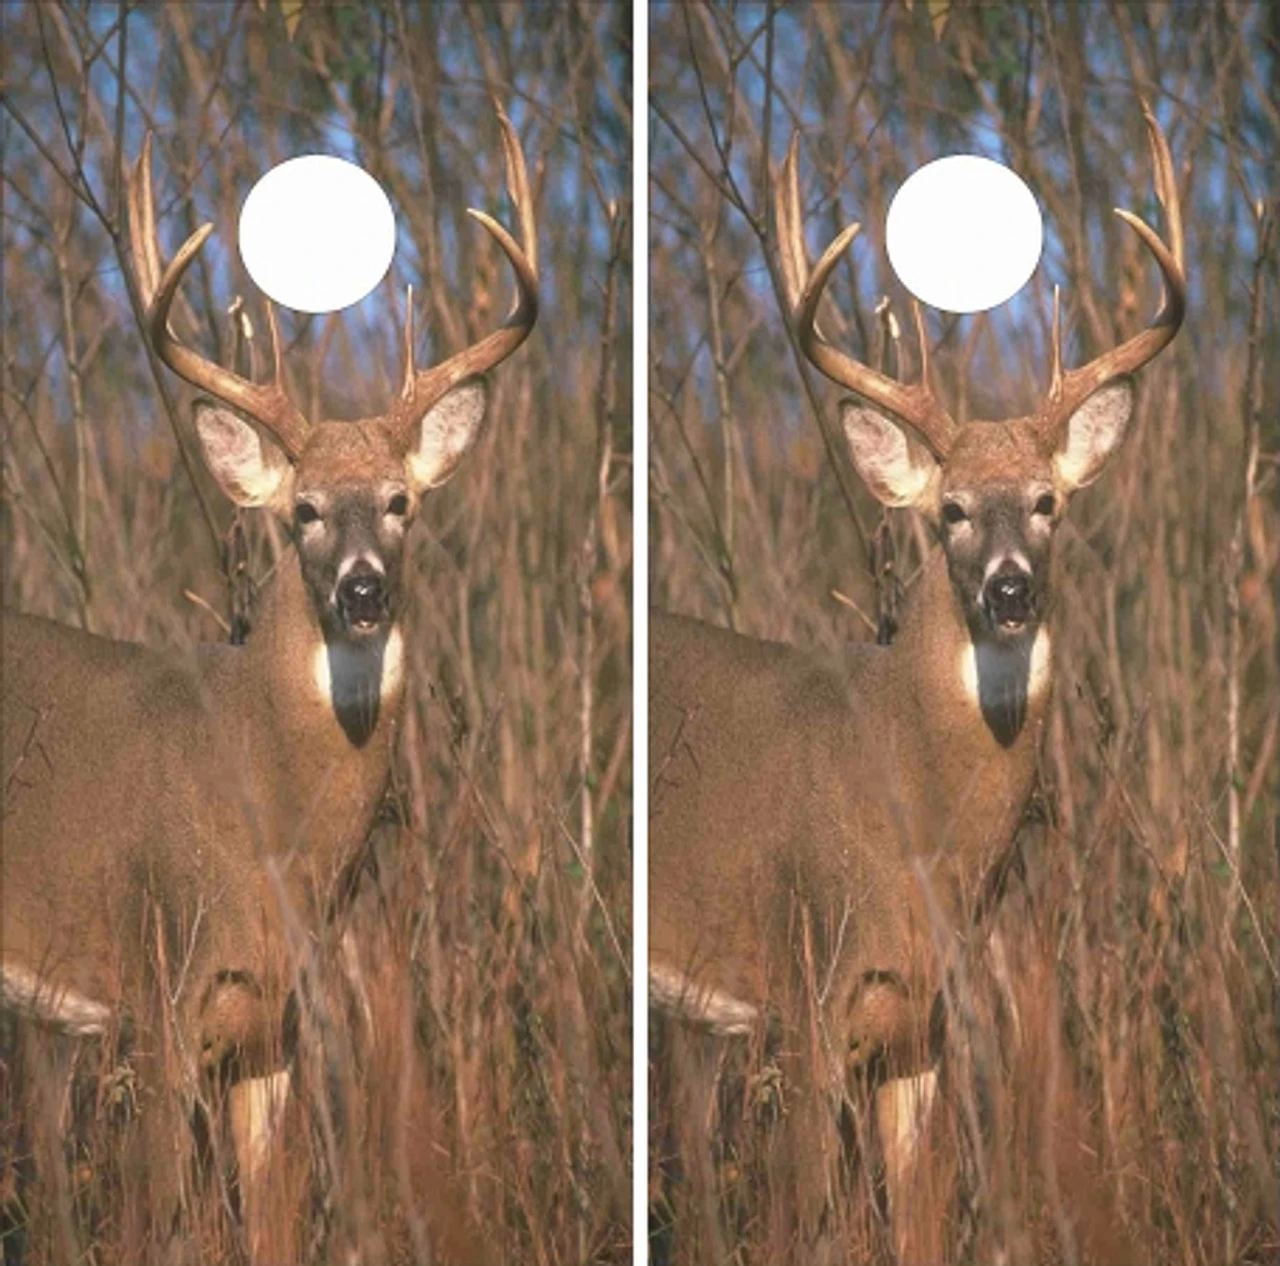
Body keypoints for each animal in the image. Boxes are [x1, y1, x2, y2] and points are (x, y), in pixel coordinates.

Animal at [1, 105, 536, 1261]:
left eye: (400, 502)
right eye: (302, 513)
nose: (363, 589)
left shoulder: (274, 1033)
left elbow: (276, 1224)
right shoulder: (154, 993)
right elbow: (157, 1223)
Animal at [649, 104, 1184, 1260]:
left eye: (1046, 502)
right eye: (949, 512)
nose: (1009, 589)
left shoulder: (923, 1031)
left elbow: (923, 1223)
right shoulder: (806, 997)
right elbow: (804, 1222)